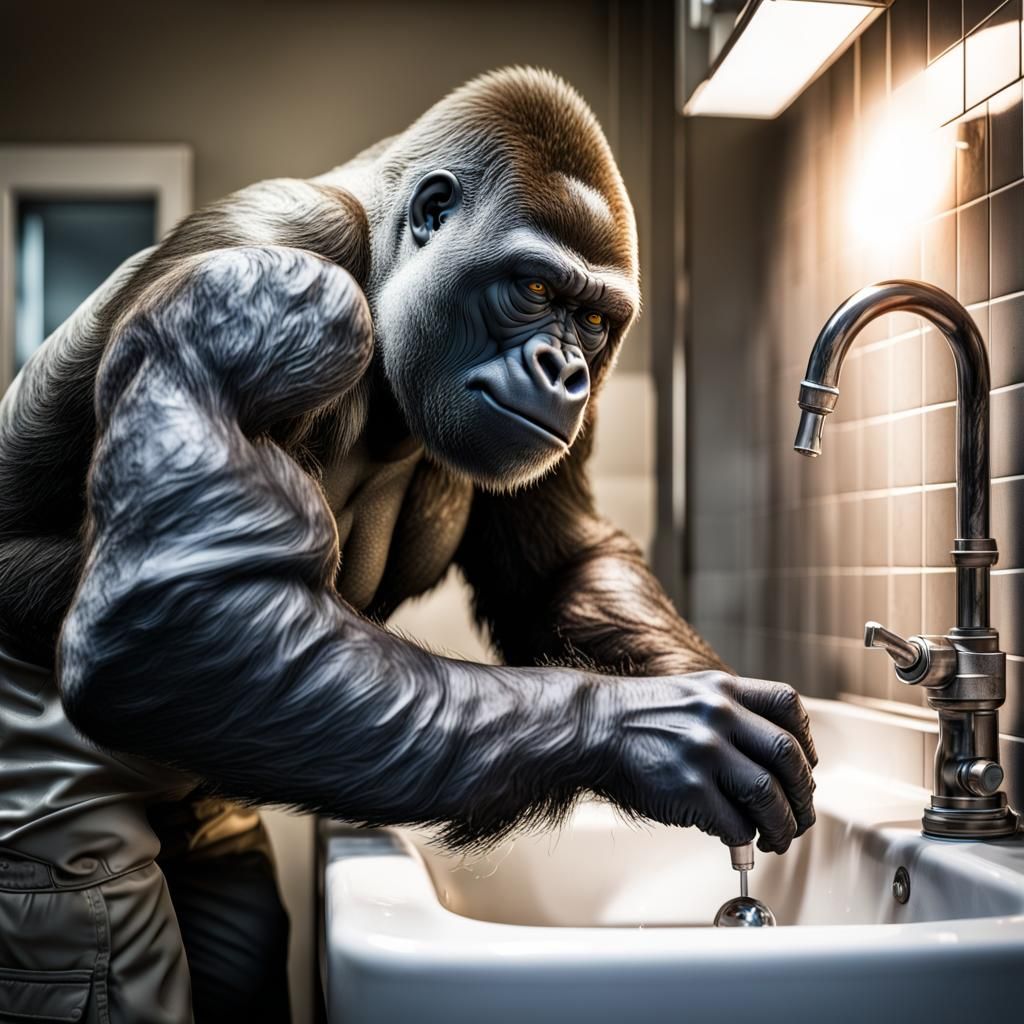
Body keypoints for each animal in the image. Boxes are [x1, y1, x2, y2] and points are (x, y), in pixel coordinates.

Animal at [0, 69, 816, 1024]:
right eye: (535, 291)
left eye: (594, 320)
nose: (565, 371)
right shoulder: (264, 274)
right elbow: (167, 617)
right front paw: (658, 731)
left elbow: (558, 569)